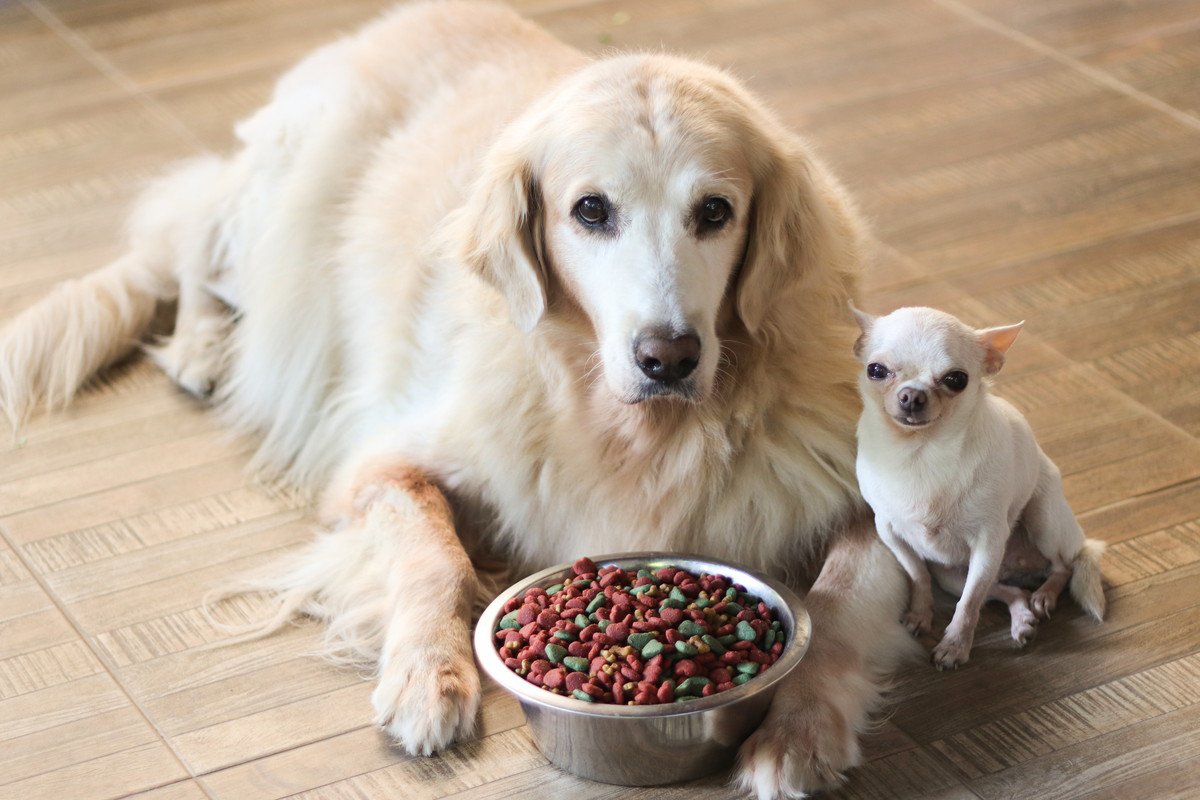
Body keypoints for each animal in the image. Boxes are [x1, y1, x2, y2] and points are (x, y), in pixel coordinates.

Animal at [2, 3, 907, 796]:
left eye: (715, 211)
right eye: (590, 210)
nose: (670, 358)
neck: (640, 432)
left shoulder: (885, 491)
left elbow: (844, 598)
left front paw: (799, 733)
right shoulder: (382, 464)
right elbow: (434, 554)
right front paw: (427, 679)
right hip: (283, 217)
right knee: (193, 246)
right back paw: (199, 345)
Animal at [849, 307, 1099, 671]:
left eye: (956, 379)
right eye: (876, 370)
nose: (912, 395)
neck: (920, 451)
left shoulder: (988, 543)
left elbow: (968, 605)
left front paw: (954, 647)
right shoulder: (889, 531)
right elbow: (918, 575)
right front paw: (920, 614)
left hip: (1043, 522)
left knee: (1062, 566)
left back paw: (1044, 596)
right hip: (953, 576)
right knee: (1007, 591)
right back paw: (1022, 618)